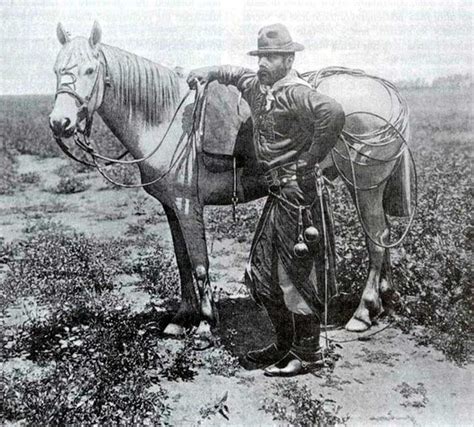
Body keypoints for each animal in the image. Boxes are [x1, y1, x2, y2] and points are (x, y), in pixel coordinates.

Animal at [49, 22, 412, 338]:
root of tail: (387, 91)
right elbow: (182, 261)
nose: (59, 122)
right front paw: (182, 318)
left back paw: (363, 313)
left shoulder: (188, 205)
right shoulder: (172, 208)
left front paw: (206, 323)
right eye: (56, 70)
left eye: (90, 71)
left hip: (365, 187)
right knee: (383, 236)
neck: (164, 118)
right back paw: (386, 301)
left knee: (377, 239)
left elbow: (199, 264)